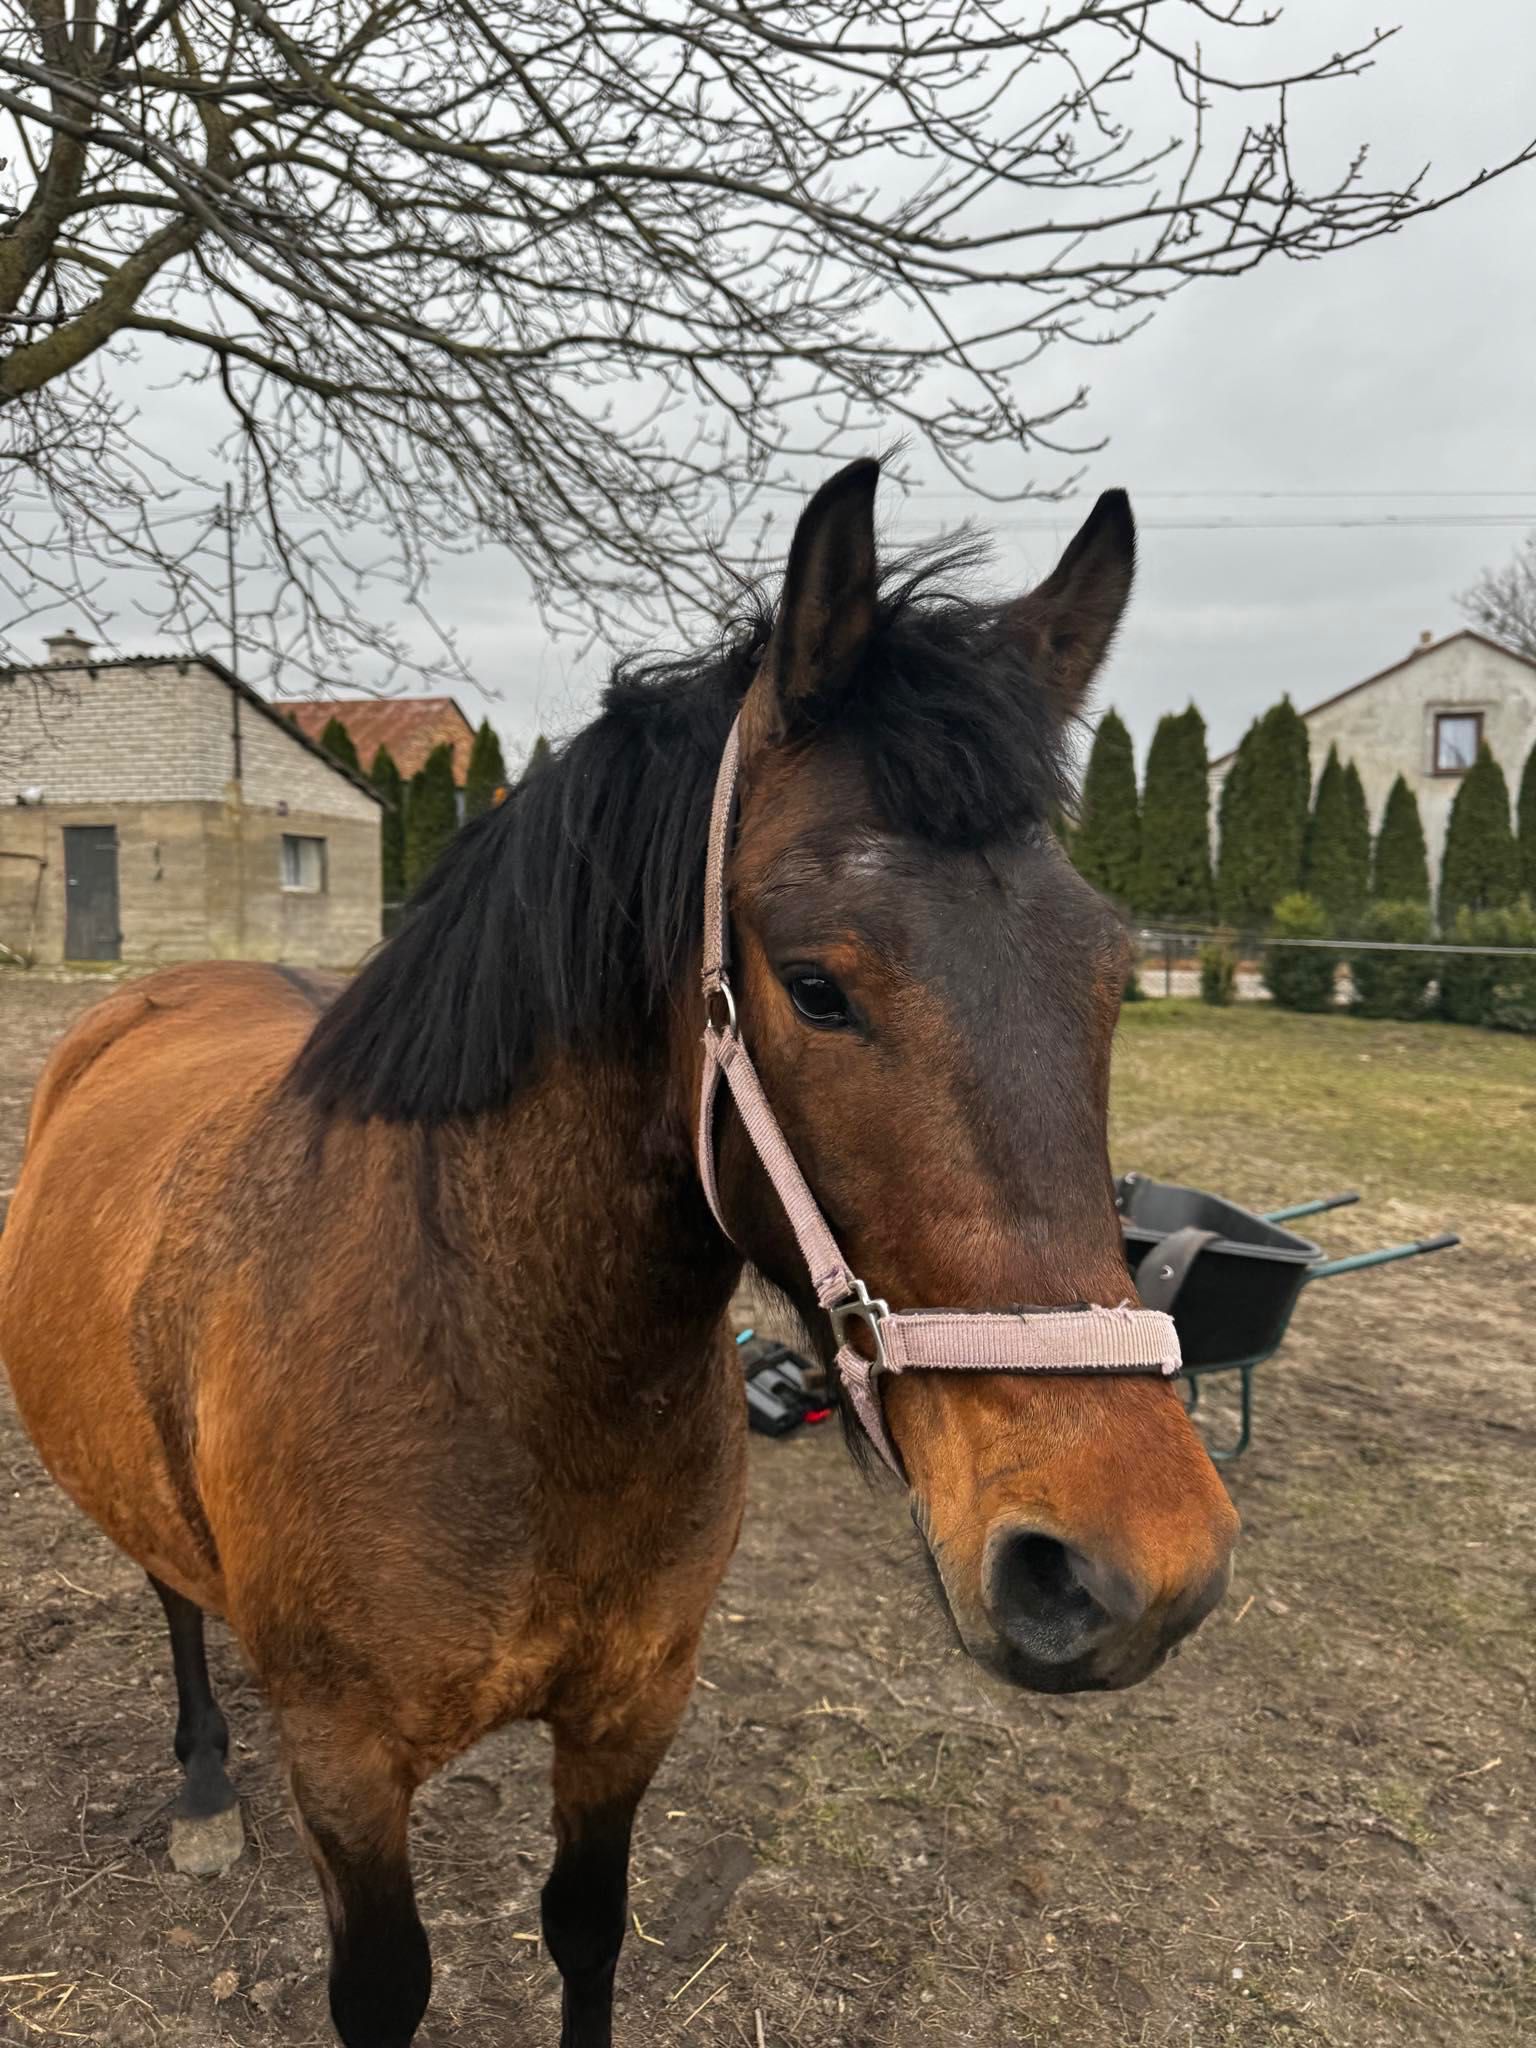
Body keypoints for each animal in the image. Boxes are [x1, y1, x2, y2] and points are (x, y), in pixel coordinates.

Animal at [0, 464, 1236, 2048]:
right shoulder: (346, 1765)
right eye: (816, 986)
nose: (1133, 1567)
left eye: (1110, 973)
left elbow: (587, 1932)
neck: (506, 1369)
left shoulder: (634, 1707)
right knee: (168, 1589)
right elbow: (385, 1988)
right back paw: (206, 1785)